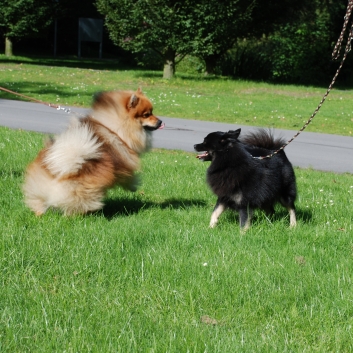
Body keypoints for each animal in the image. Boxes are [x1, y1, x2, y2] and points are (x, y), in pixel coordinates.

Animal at [23, 88, 164, 214]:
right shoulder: (125, 161)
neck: (113, 128)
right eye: (147, 114)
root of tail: (61, 169)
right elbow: (128, 177)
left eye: (152, 112)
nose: (160, 121)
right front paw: (134, 186)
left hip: (39, 187)